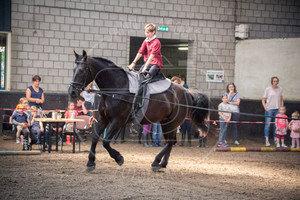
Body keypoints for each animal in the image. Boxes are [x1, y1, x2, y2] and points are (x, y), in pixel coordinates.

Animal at [69, 50, 209, 171]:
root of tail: (187, 92)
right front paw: (90, 162)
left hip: (171, 123)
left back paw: (156, 162)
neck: (117, 87)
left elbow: (106, 141)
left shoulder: (118, 121)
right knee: (171, 141)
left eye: (82, 70)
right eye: (73, 70)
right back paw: (162, 163)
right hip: (167, 123)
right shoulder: (104, 119)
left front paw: (119, 158)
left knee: (170, 142)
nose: (72, 92)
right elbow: (95, 138)